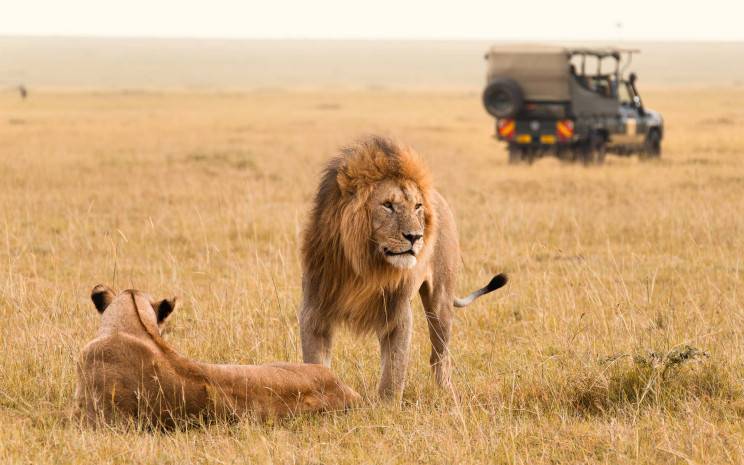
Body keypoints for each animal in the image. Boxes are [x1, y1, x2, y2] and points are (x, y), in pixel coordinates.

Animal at [299, 136, 507, 401]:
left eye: (417, 206)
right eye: (387, 205)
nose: (415, 236)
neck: (365, 266)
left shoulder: (397, 311)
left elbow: (394, 369)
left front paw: (386, 407)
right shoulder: (314, 309)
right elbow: (315, 363)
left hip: (440, 301)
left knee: (440, 355)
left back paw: (446, 394)